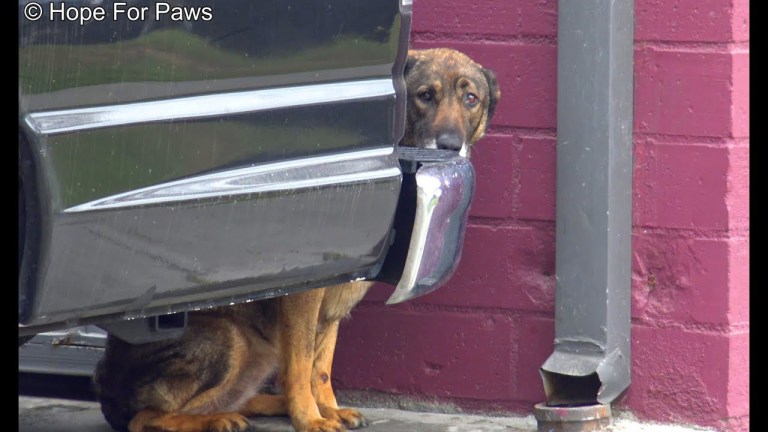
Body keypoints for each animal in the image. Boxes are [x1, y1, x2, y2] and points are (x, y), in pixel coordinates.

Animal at [93, 46, 500, 432]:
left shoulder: (334, 302)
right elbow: (301, 366)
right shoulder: (304, 296)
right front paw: (311, 419)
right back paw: (221, 419)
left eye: (471, 99)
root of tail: (104, 390)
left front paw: (328, 410)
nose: (449, 145)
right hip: (233, 338)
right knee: (146, 418)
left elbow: (320, 367)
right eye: (425, 95)